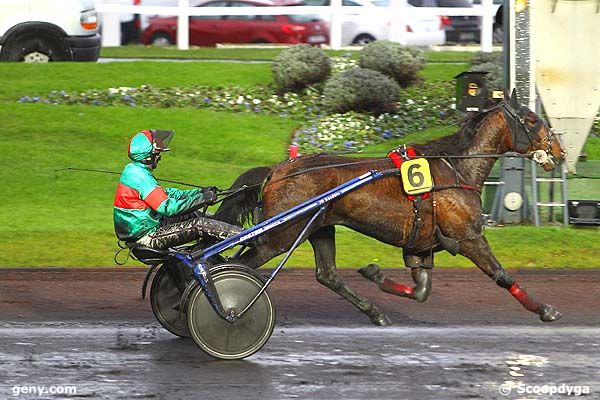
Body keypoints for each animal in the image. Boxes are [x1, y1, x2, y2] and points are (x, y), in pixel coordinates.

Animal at [213, 92, 564, 326]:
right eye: (532, 120)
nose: (559, 151)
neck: (456, 170)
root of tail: (277, 170)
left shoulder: (421, 247)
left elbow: (421, 291)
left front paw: (375, 274)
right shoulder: (469, 237)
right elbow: (502, 275)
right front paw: (545, 309)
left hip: (319, 228)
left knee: (327, 275)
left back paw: (374, 312)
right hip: (279, 237)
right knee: (237, 264)